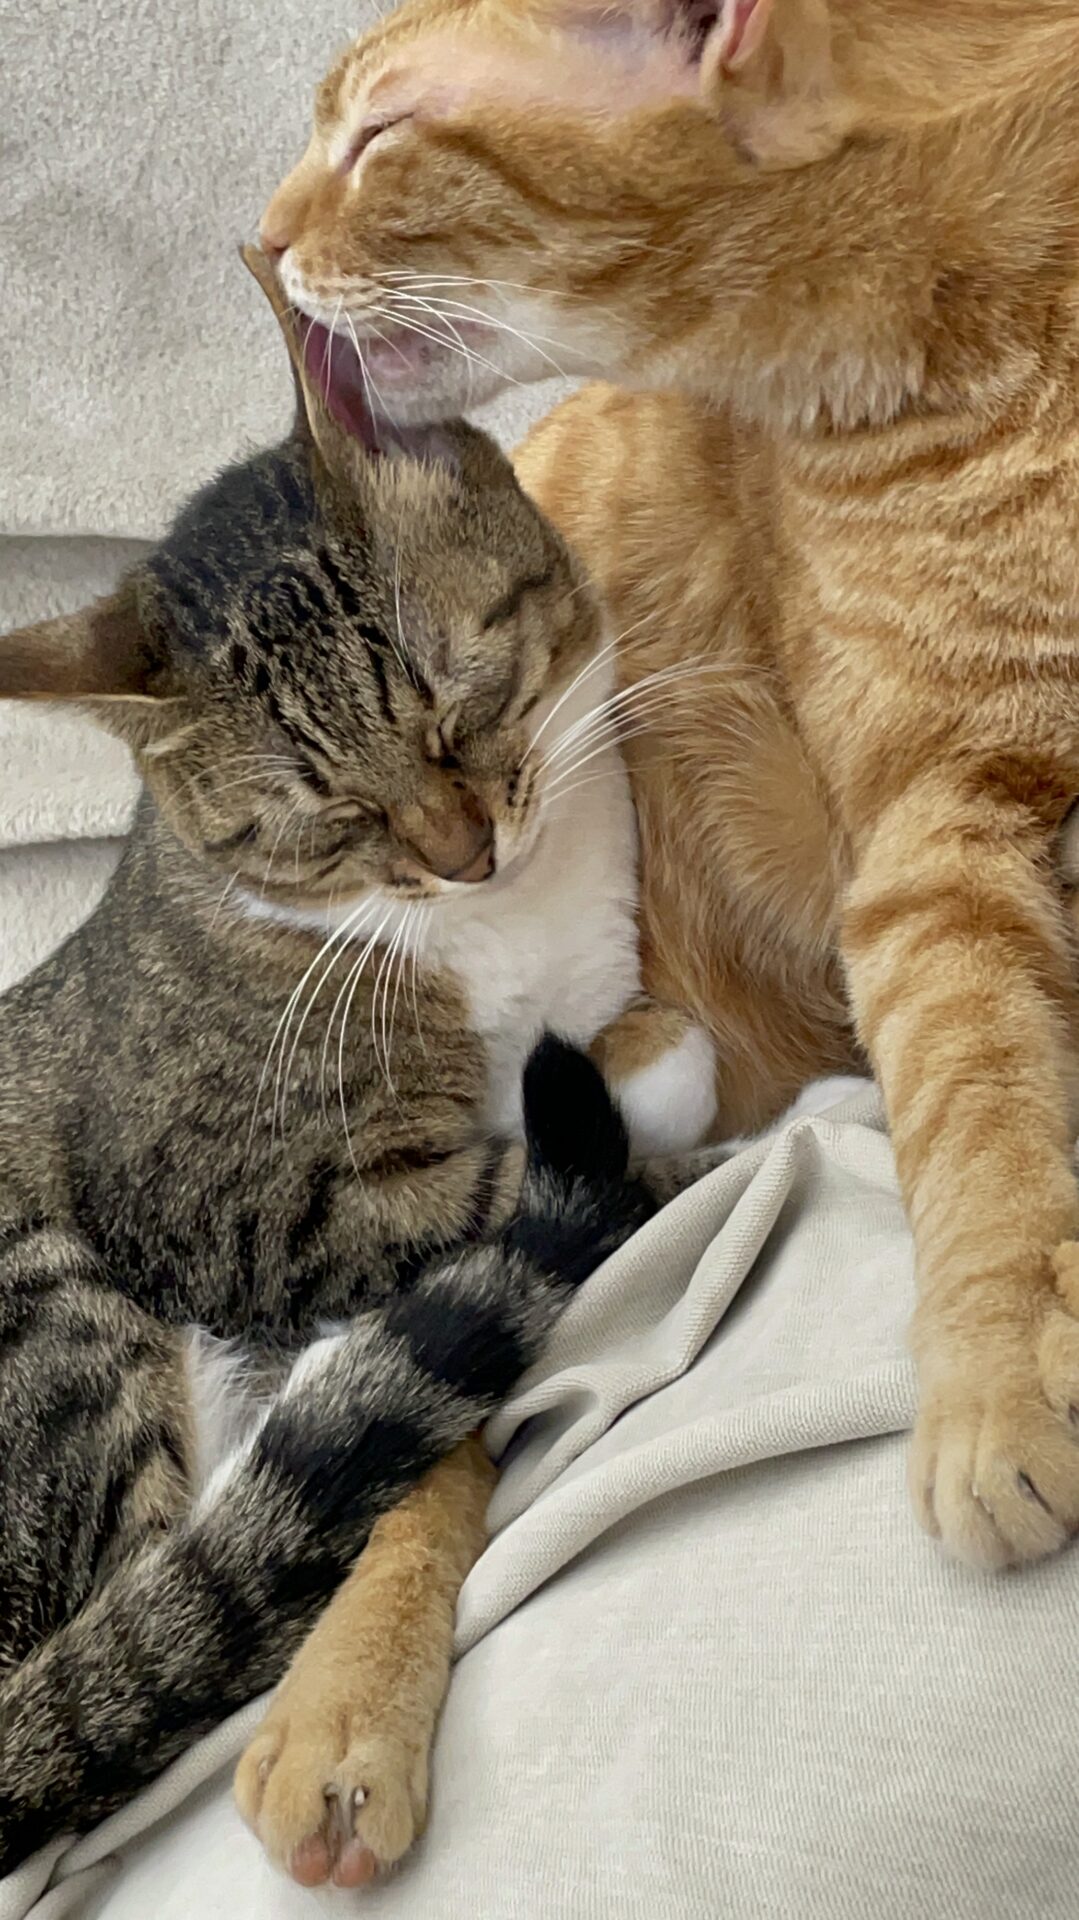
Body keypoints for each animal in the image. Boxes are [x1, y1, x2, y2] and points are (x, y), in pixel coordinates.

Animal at [0, 246, 712, 1877]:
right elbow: (521, 1169)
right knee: (159, 1614)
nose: (464, 853)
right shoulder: (246, 1212)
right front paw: (646, 1088)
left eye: (465, 702)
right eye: (330, 821)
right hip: (42, 1294)